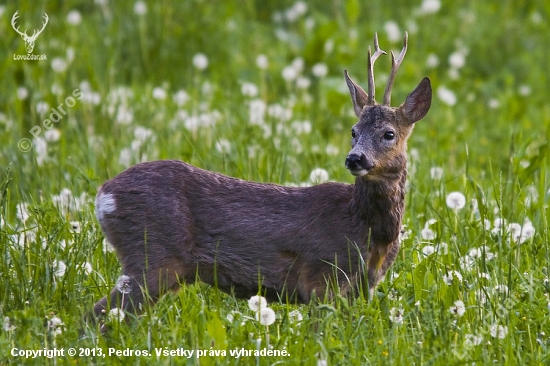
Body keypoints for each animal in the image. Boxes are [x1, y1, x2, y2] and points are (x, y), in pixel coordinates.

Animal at [92, 32, 434, 324]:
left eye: (388, 133)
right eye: (353, 131)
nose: (355, 158)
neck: (368, 229)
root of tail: (103, 196)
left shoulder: (365, 286)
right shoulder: (323, 275)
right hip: (152, 257)